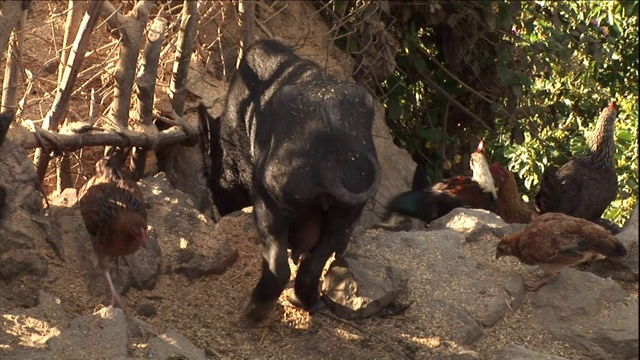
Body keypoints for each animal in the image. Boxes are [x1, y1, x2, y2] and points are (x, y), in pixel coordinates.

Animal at [200, 39, 380, 324]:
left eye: (210, 177)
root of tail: (331, 159)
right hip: (348, 206)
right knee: (316, 260)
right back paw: (306, 303)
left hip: (272, 195)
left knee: (278, 262)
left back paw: (252, 315)